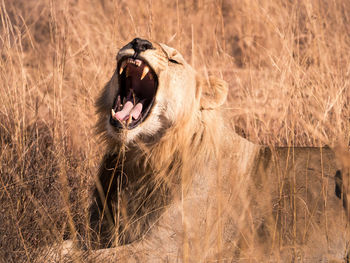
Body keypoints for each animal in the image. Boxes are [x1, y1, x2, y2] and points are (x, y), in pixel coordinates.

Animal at [75, 38, 348, 262]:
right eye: (134, 39)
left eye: (174, 60)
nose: (139, 42)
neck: (142, 158)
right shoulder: (100, 230)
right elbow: (71, 247)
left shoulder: (168, 248)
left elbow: (89, 258)